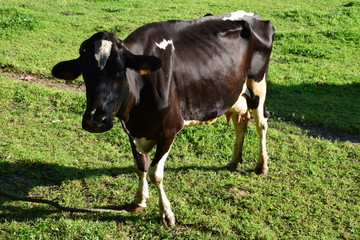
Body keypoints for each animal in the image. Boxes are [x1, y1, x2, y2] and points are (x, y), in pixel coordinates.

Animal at [51, 9, 276, 227]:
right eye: (85, 73)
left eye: (120, 72)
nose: (95, 120)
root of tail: (255, 17)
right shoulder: (132, 130)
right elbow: (140, 167)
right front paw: (139, 200)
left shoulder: (169, 129)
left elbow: (155, 173)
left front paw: (166, 214)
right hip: (236, 93)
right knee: (241, 123)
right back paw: (234, 161)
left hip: (258, 85)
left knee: (261, 124)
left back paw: (262, 165)